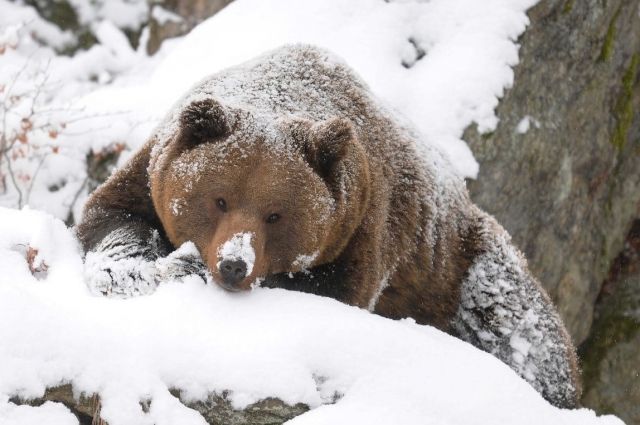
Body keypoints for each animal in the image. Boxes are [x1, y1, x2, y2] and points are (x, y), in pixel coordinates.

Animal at [76, 43, 580, 408]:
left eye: (275, 214)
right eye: (219, 199)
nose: (234, 264)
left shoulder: (362, 226)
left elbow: (331, 290)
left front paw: (185, 267)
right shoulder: (151, 171)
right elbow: (112, 217)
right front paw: (131, 270)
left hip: (460, 265)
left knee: (521, 329)